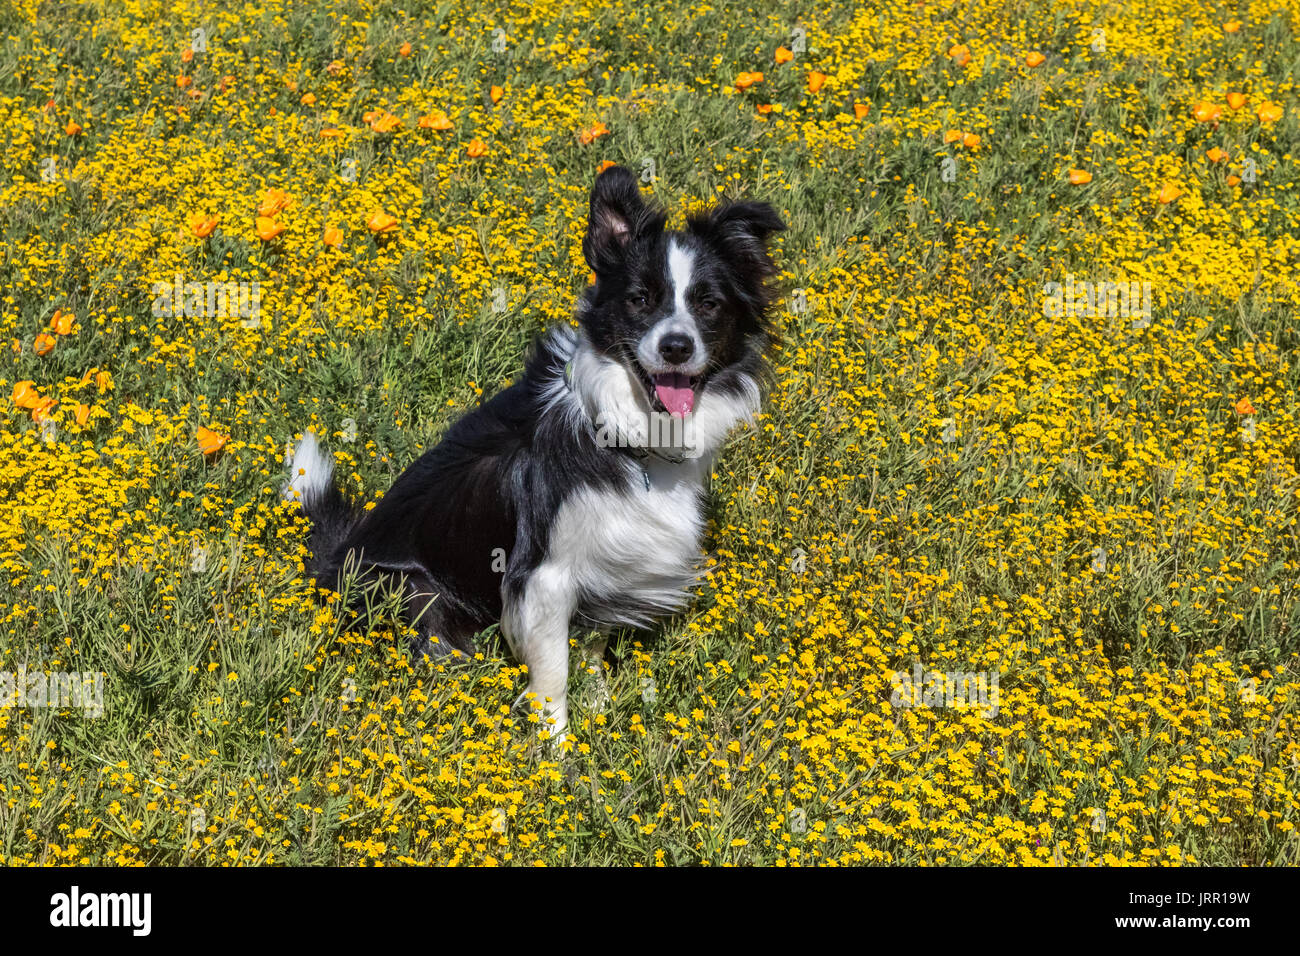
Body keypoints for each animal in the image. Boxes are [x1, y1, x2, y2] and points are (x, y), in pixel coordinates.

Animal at [287, 167, 780, 738]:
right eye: (640, 299)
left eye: (708, 304)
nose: (676, 346)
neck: (624, 431)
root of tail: (332, 562)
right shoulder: (543, 573)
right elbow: (553, 672)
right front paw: (555, 748)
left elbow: (588, 643)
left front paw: (599, 704)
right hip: (412, 588)